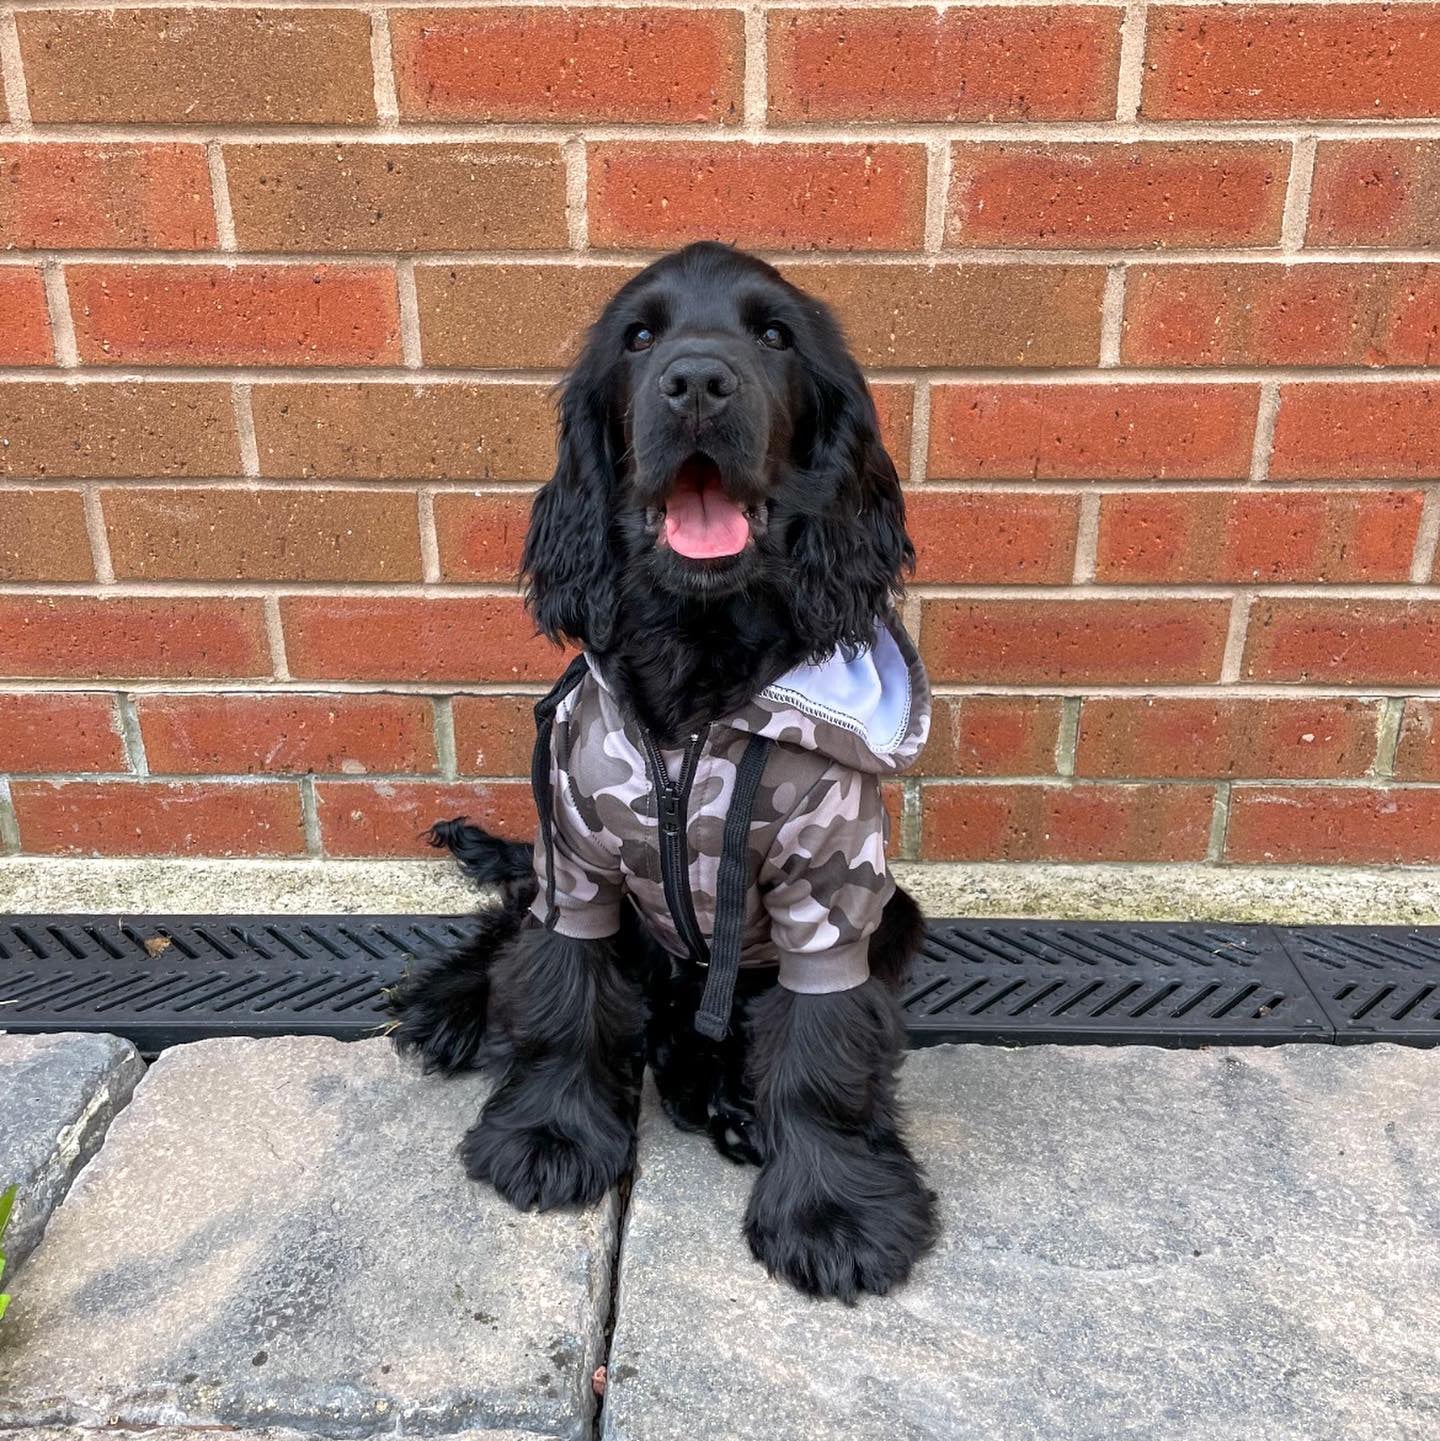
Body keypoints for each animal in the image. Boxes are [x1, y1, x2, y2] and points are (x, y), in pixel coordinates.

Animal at [389, 242, 939, 1302]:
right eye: (639, 337)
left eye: (774, 335)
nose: (696, 381)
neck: (698, 666)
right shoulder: (574, 858)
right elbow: (562, 989)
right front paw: (552, 1135)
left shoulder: (832, 893)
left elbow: (822, 1051)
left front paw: (833, 1212)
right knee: (510, 927)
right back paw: (450, 1006)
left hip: (895, 914)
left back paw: (722, 1095)